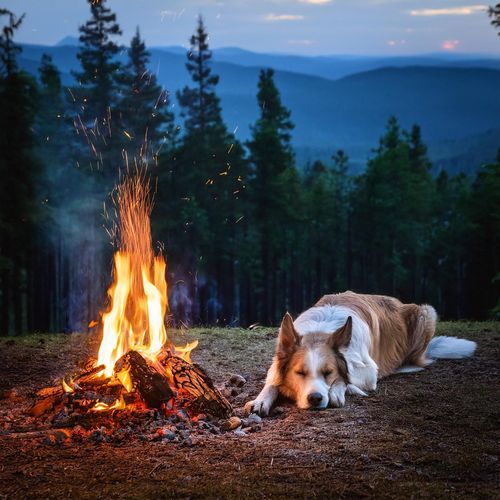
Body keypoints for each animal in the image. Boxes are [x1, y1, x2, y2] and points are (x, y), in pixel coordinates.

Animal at [246, 292, 476, 416]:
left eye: (328, 373)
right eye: (300, 373)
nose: (316, 398)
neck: (320, 330)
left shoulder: (368, 370)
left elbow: (346, 377)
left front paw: (336, 391)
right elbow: (272, 382)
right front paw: (260, 400)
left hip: (426, 312)